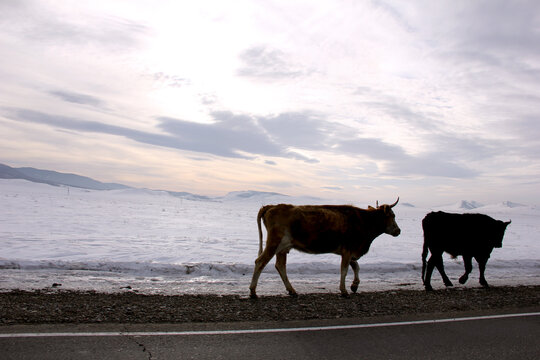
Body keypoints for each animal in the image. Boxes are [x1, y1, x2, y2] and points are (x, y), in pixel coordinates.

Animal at [250, 198, 400, 296]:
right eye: (393, 215)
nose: (398, 230)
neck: (364, 221)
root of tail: (271, 206)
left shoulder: (350, 251)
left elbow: (356, 267)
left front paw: (354, 285)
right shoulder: (348, 250)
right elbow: (344, 270)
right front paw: (344, 290)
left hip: (282, 248)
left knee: (280, 266)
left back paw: (292, 290)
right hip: (274, 243)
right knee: (260, 262)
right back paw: (253, 291)